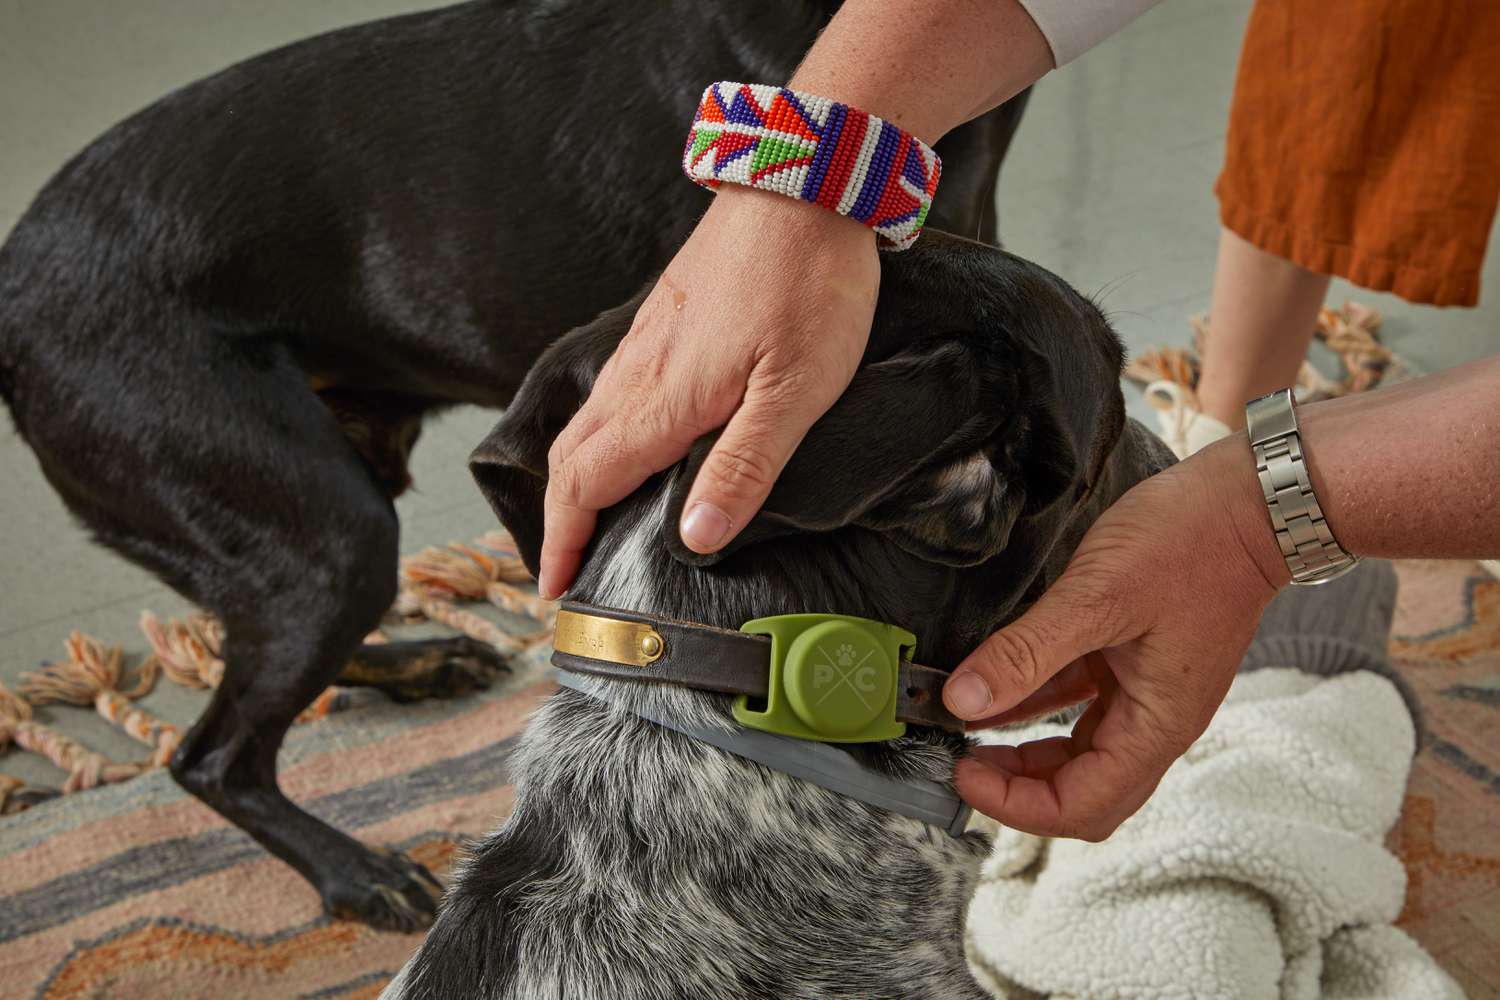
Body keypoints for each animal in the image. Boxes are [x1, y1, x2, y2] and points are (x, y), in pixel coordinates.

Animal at [0, 0, 1026, 929]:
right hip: (325, 524)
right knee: (211, 753)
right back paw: (357, 874)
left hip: (311, 510)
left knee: (239, 644)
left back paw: (425, 663)